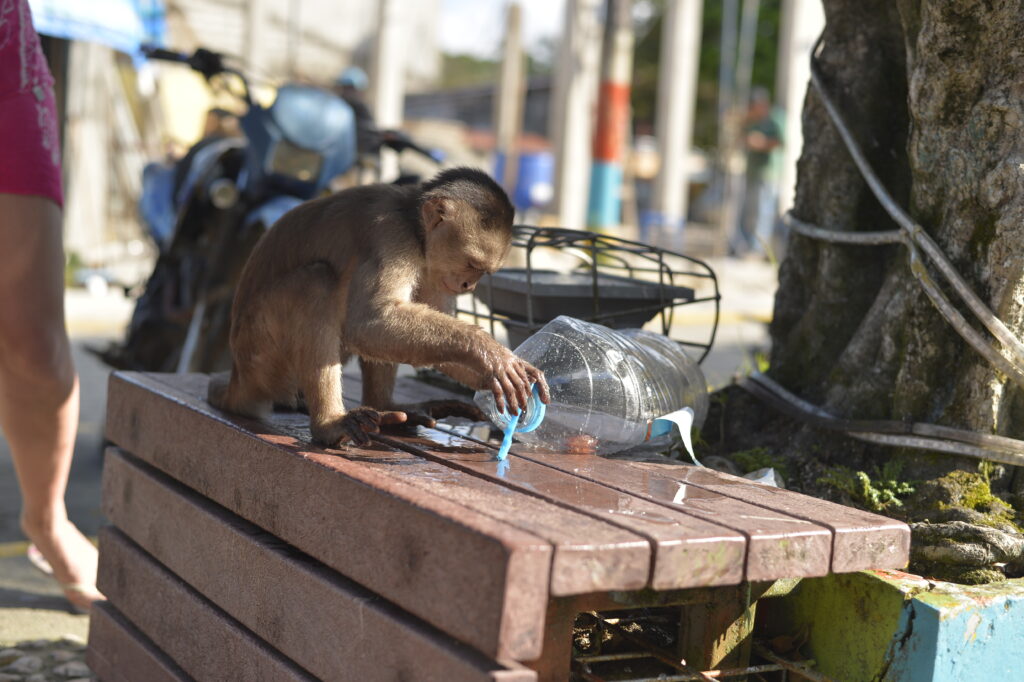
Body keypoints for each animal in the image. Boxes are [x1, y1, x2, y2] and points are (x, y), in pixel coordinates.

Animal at [208, 167, 549, 447]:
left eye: (481, 272)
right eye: (472, 265)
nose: (469, 286)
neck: (413, 223)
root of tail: (238, 376)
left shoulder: (434, 269)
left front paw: (491, 375)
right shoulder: (392, 236)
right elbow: (368, 322)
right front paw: (490, 354)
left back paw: (387, 407)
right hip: (261, 355)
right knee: (316, 282)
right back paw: (329, 425)